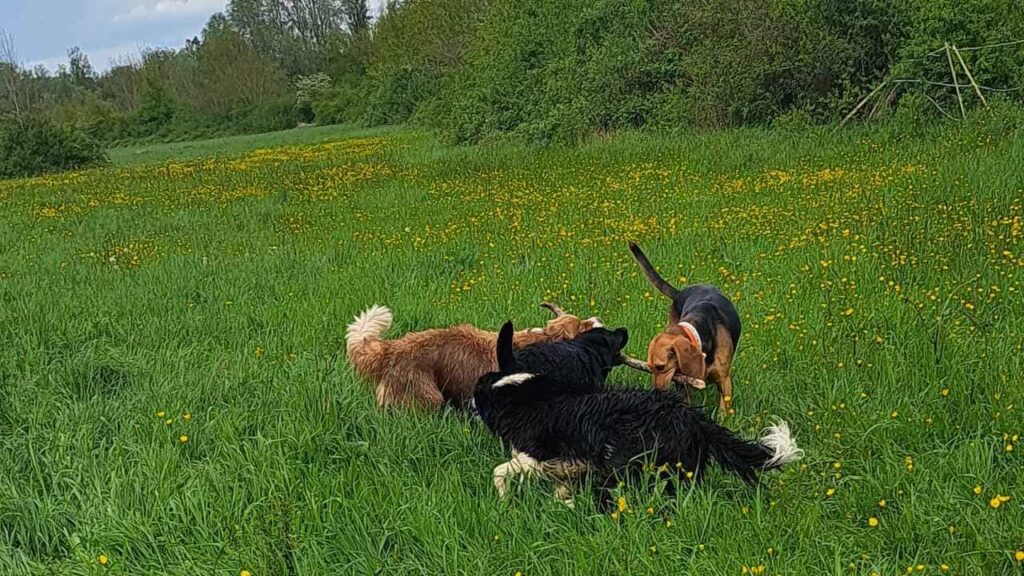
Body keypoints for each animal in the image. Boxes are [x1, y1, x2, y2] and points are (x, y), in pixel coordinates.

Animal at [475, 319, 802, 504]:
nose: (471, 407)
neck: (515, 389)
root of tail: (690, 416)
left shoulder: (535, 455)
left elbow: (499, 471)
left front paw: (503, 500)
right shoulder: (569, 465)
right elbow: (561, 492)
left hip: (627, 463)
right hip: (680, 467)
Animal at [626, 241, 741, 412]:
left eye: (660, 367)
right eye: (649, 368)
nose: (655, 395)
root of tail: (681, 292)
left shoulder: (724, 380)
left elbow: (723, 409)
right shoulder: (682, 382)